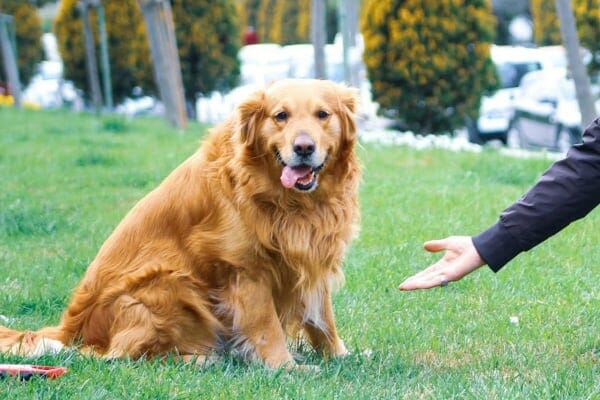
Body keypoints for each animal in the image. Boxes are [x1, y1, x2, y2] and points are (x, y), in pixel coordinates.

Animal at [0, 78, 360, 368]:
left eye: (323, 114)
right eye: (280, 116)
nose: (304, 148)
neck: (289, 201)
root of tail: (70, 330)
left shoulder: (312, 257)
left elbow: (323, 319)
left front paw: (341, 356)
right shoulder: (246, 271)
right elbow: (265, 327)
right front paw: (285, 367)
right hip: (168, 281)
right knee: (124, 356)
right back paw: (203, 359)